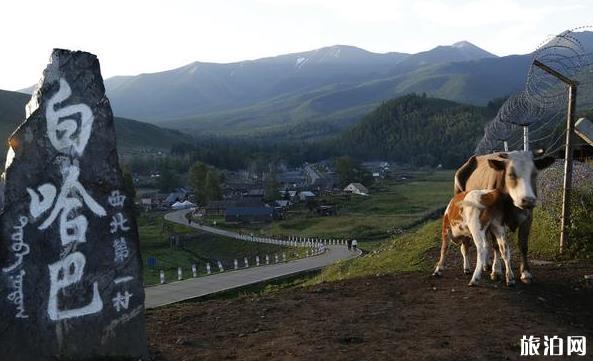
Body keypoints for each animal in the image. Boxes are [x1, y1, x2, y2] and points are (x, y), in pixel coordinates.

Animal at [450, 150, 552, 282]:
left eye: (534, 174)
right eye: (510, 174)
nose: (528, 200)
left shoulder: (528, 218)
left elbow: (523, 245)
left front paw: (525, 273)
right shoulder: (495, 222)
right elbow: (496, 246)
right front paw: (497, 271)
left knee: (484, 242)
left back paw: (486, 264)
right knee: (466, 243)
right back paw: (467, 267)